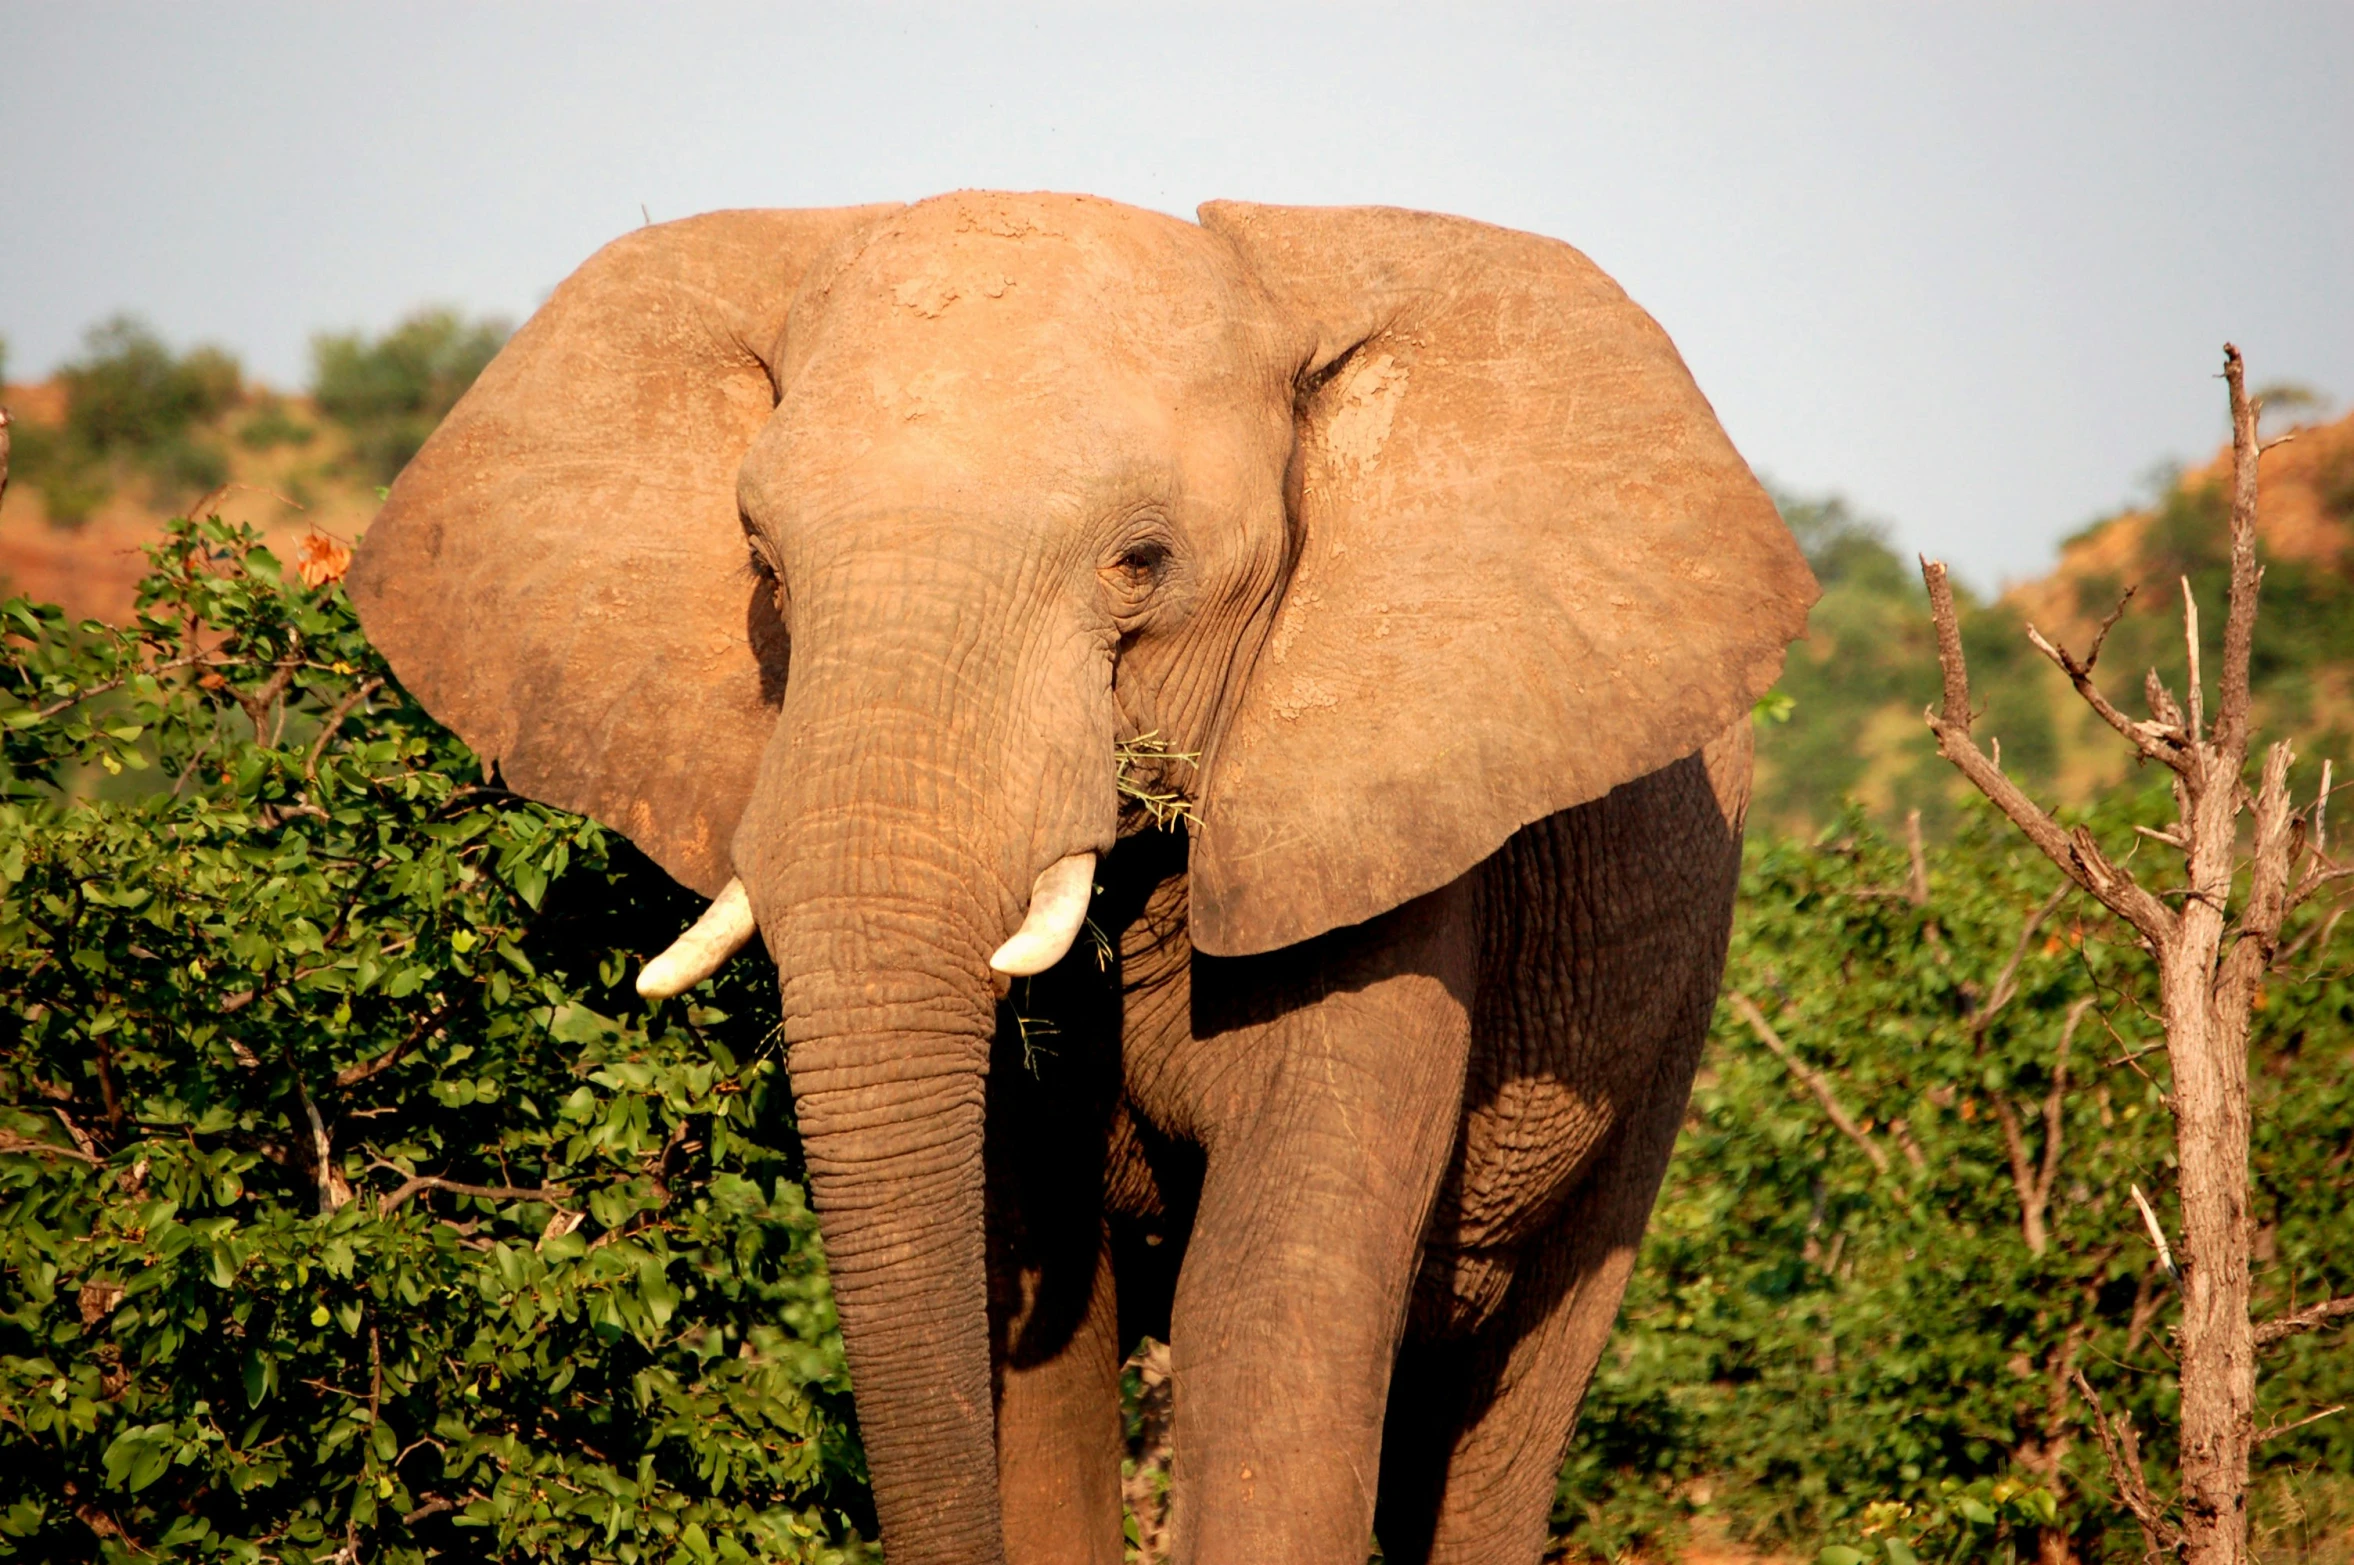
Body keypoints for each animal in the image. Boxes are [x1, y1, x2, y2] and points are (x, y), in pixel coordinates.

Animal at [348, 195, 1817, 1562]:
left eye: (1140, 564)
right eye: (763, 568)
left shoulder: (1388, 832)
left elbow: (1264, 1305)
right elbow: (1036, 1299)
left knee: (1509, 1399)